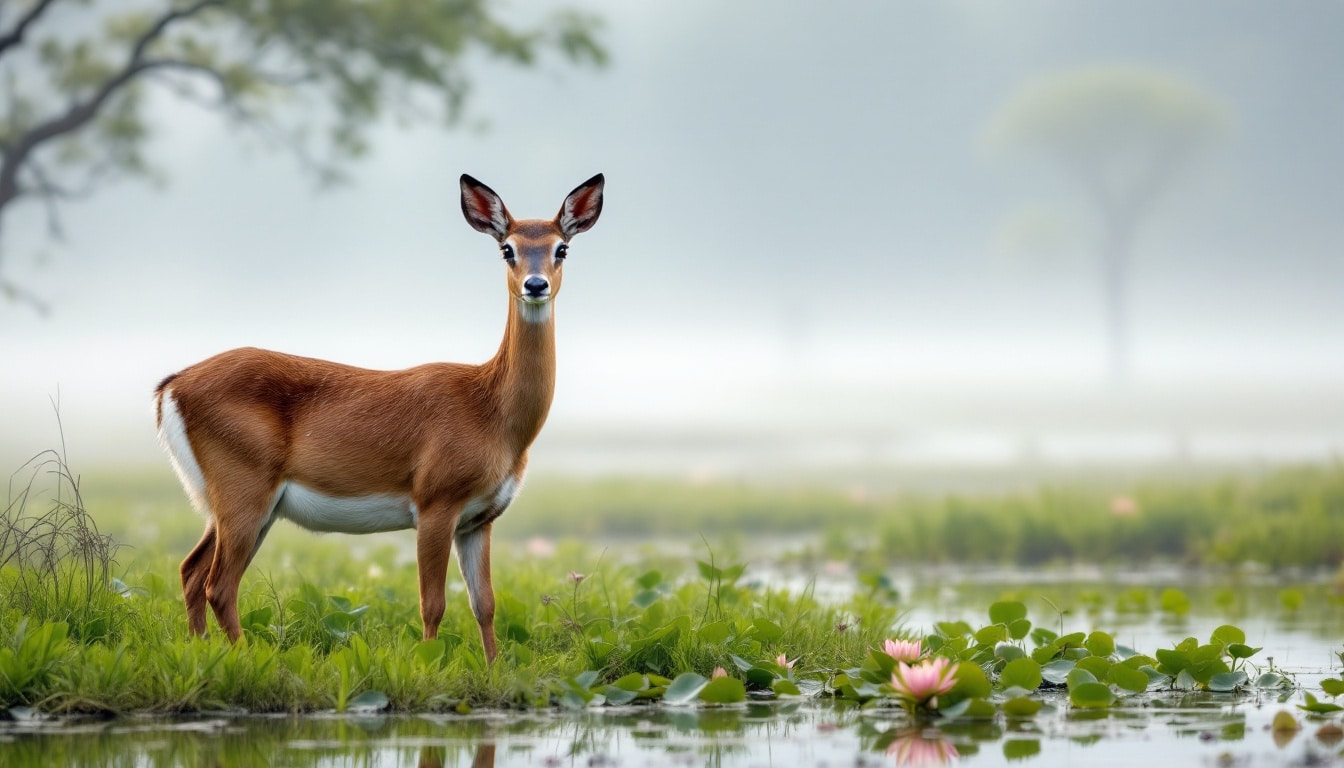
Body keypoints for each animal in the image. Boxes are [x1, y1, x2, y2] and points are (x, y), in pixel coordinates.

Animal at [151, 172, 604, 661]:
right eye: (508, 248)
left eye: (562, 248)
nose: (535, 285)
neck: (493, 414)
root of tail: (171, 387)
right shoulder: (435, 500)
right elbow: (433, 604)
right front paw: (427, 662)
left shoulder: (480, 518)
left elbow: (485, 604)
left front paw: (493, 668)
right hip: (243, 486)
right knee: (219, 584)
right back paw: (251, 656)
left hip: (238, 503)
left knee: (191, 571)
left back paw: (202, 650)